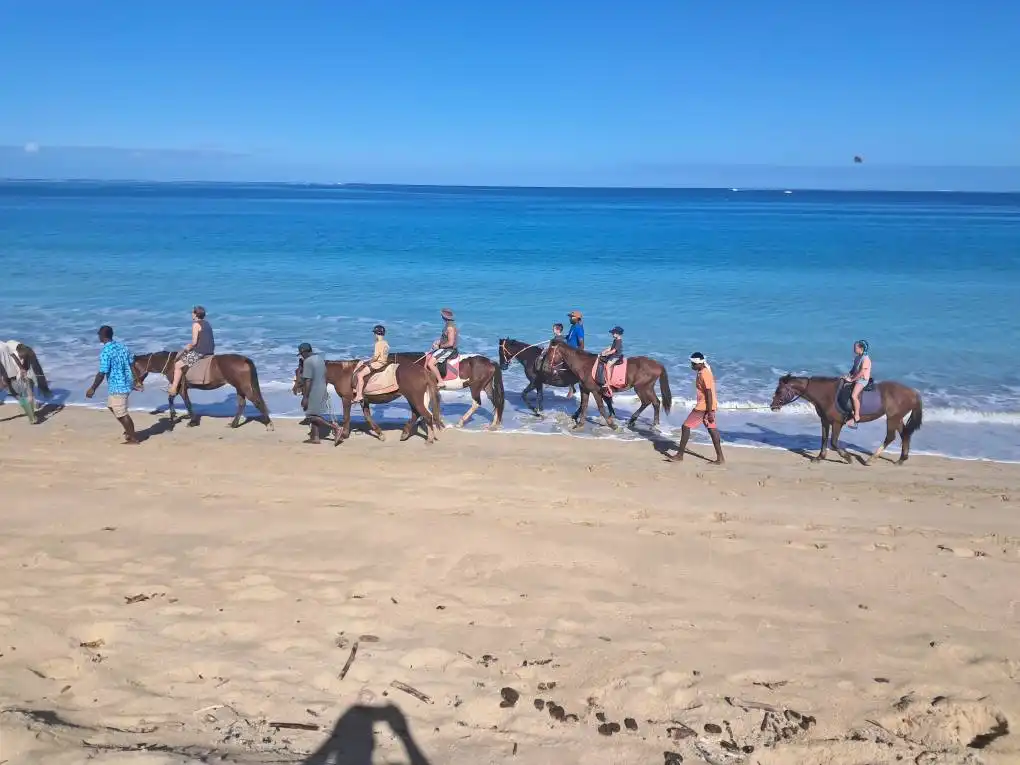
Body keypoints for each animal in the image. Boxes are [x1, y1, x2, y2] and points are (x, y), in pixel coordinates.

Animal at [133, 350, 273, 430]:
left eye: (131, 369)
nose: (136, 386)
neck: (172, 363)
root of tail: (245, 360)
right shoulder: (178, 387)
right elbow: (171, 398)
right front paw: (173, 415)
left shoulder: (180, 387)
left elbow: (186, 402)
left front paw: (192, 421)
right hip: (239, 387)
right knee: (242, 404)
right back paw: (234, 424)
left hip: (243, 386)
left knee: (257, 402)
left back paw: (269, 424)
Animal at [291, 357, 439, 444]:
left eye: (300, 371)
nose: (294, 389)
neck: (343, 373)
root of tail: (423, 371)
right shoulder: (364, 400)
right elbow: (368, 417)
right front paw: (379, 434)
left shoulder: (346, 399)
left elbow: (346, 417)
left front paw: (343, 434)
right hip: (412, 397)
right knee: (417, 413)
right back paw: (405, 433)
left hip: (414, 397)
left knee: (426, 415)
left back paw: (428, 439)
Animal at [769, 375, 923, 465]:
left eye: (779, 391)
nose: (772, 406)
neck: (827, 395)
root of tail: (913, 392)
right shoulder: (825, 421)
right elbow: (824, 439)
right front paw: (819, 457)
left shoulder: (837, 423)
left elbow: (833, 442)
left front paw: (848, 458)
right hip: (897, 418)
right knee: (905, 434)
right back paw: (901, 459)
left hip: (892, 418)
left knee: (891, 437)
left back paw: (871, 459)